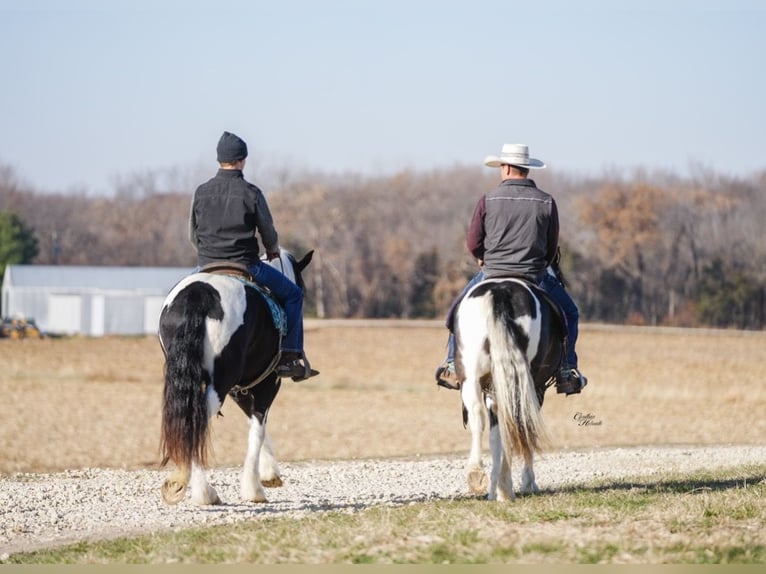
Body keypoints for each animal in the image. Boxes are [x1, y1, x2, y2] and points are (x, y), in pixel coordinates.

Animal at [157, 249, 313, 506]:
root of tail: (199, 295)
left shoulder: (238, 389)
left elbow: (252, 421)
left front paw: (269, 473)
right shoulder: (267, 382)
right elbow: (258, 427)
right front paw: (255, 488)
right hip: (222, 382)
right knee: (197, 421)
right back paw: (205, 492)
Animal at [452, 276, 566, 501]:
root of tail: (500, 293)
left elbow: (495, 437)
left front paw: (495, 488)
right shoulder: (537, 389)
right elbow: (526, 429)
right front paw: (526, 483)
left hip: (471, 374)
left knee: (478, 416)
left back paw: (477, 474)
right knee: (516, 423)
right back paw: (505, 486)